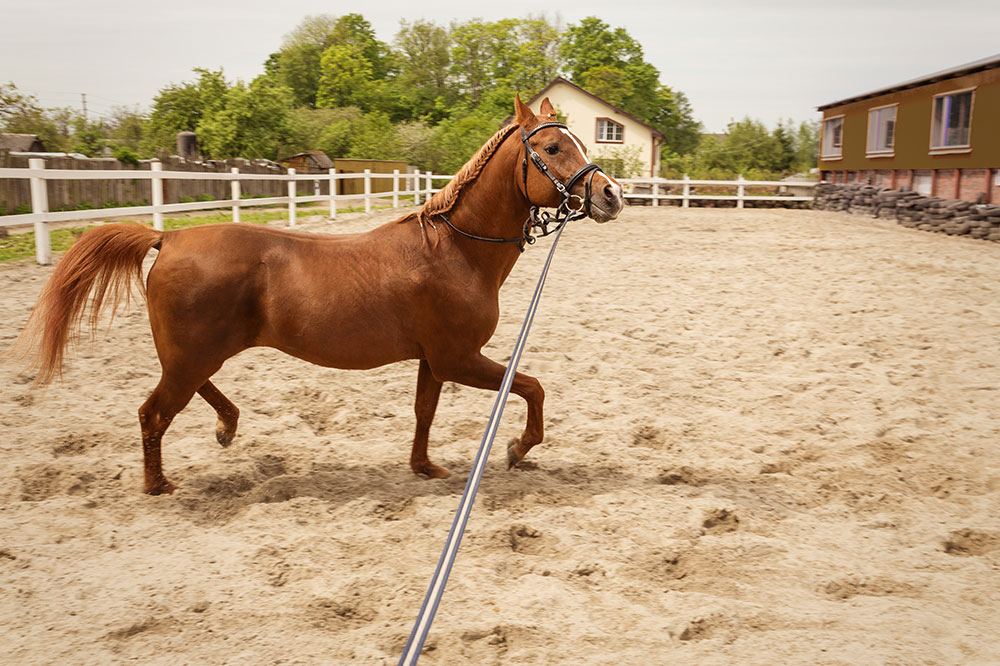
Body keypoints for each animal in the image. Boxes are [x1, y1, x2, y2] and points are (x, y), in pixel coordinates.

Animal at [19, 94, 625, 495]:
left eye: (579, 141)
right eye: (553, 146)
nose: (612, 194)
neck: (454, 249)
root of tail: (170, 237)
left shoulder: (433, 361)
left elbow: (424, 413)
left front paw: (425, 468)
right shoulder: (459, 357)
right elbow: (531, 386)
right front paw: (518, 448)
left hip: (195, 354)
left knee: (187, 393)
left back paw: (226, 426)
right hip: (191, 356)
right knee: (153, 413)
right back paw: (158, 484)